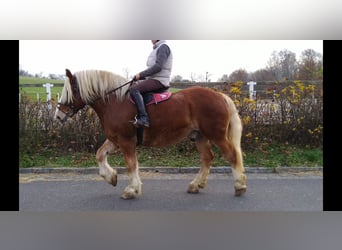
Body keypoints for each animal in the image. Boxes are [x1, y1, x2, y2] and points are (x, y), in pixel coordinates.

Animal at [55, 69, 248, 200]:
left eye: (70, 91)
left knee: (231, 156)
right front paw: (111, 177)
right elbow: (100, 154)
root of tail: (220, 95)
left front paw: (131, 190)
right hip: (199, 136)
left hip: (216, 135)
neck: (115, 102)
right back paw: (195, 185)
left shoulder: (126, 141)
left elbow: (131, 165)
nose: (58, 115)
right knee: (207, 158)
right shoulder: (115, 140)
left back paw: (239, 186)